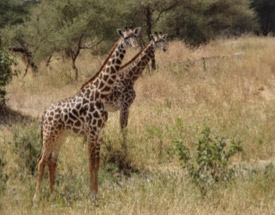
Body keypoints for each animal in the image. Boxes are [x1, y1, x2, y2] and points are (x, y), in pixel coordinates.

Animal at [33, 26, 142, 202]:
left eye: (135, 36)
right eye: (125, 38)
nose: (135, 45)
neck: (100, 93)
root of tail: (44, 114)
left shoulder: (99, 133)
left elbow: (97, 163)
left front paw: (96, 193)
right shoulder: (91, 132)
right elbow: (91, 163)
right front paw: (92, 195)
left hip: (60, 137)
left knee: (52, 161)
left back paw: (52, 194)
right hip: (49, 135)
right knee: (41, 161)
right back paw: (36, 198)